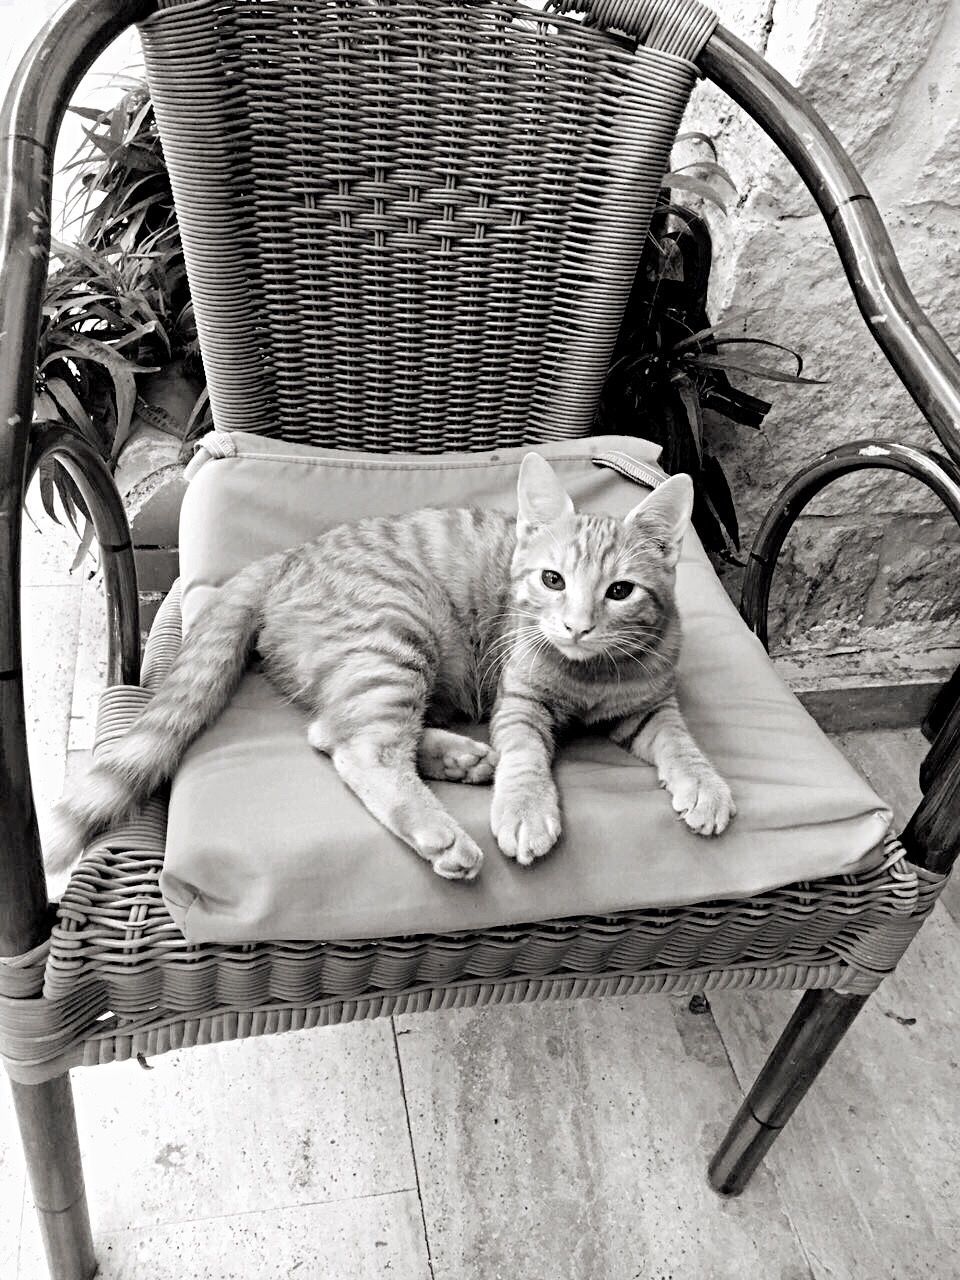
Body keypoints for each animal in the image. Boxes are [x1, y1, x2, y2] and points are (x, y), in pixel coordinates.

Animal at [47, 450, 737, 880]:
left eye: (619, 592)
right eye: (552, 580)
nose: (577, 625)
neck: (589, 675)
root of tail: (285, 558)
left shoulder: (651, 706)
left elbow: (680, 741)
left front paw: (703, 784)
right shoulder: (519, 704)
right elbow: (526, 759)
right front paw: (526, 809)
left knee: (334, 730)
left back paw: (460, 758)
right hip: (396, 640)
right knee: (359, 746)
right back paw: (442, 828)